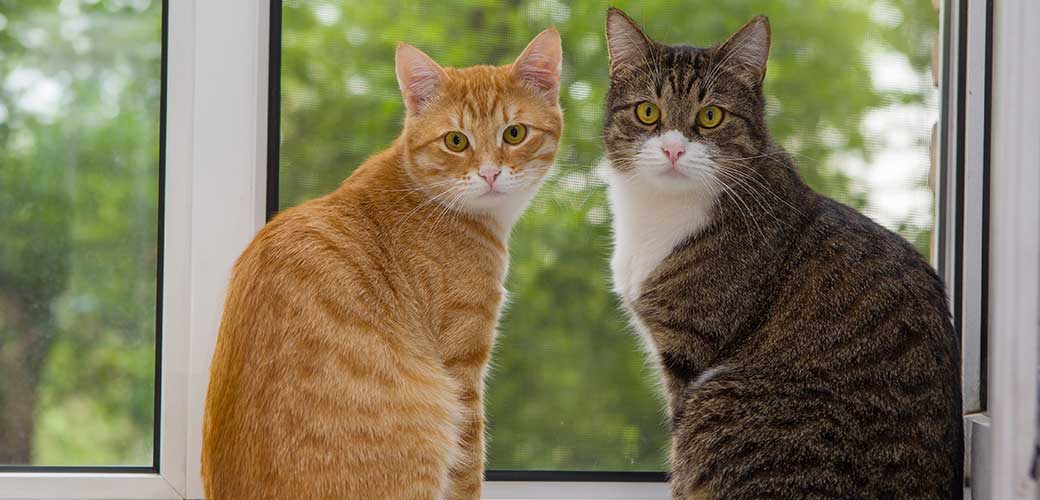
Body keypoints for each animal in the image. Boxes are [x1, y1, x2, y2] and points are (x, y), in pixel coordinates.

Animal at [607, 7, 960, 498]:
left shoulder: (689, 354)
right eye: (647, 111)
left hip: (717, 403)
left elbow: (679, 458)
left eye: (711, 116)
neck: (660, 213)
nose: (674, 148)